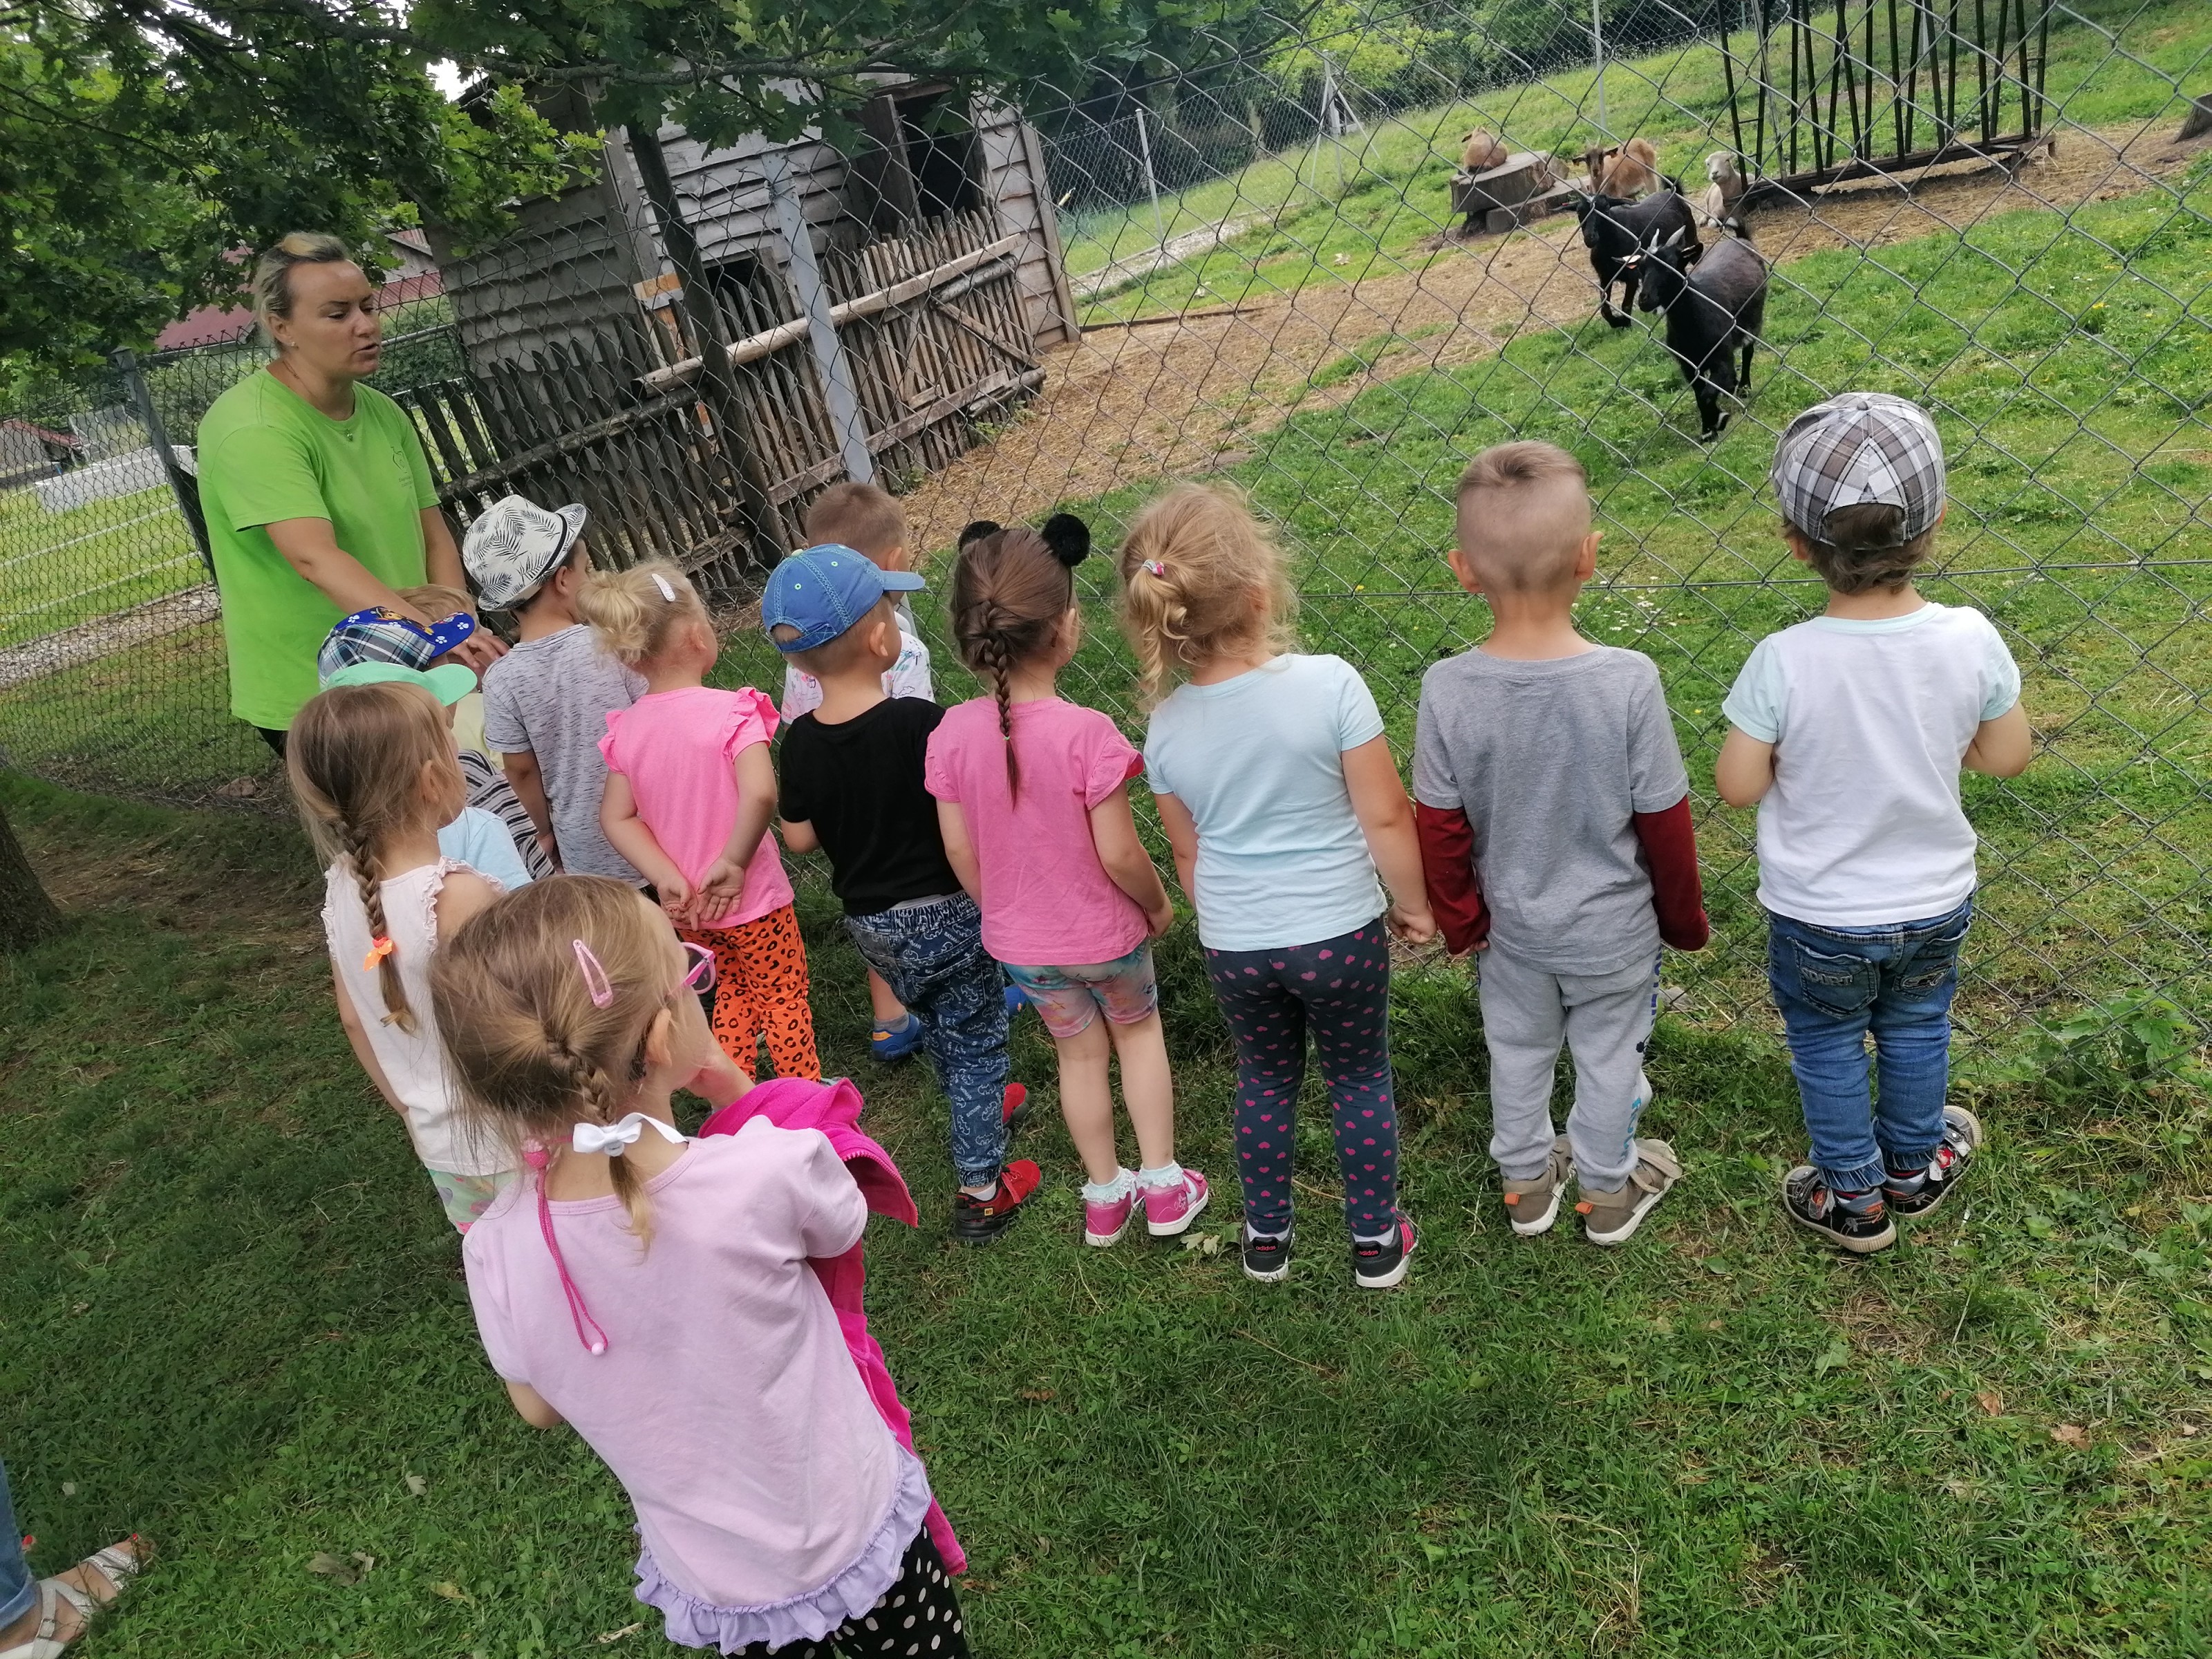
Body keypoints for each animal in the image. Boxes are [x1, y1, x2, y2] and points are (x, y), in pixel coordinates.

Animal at [1575, 189, 1698, 328]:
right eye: (1579, 211)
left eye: (1606, 207)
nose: (1590, 238)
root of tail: (1670, 192)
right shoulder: (1605, 276)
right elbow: (1605, 309)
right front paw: (1616, 323)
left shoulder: (1632, 276)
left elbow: (1626, 305)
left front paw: (1626, 323)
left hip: (1691, 238)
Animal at [1633, 226, 1767, 441]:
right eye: (1641, 268)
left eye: (1671, 265)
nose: (1644, 300)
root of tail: (1741, 239)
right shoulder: (1688, 366)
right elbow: (1700, 394)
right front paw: (1707, 430)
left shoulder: (1722, 358)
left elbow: (1707, 394)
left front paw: (1718, 420)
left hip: (1754, 320)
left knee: (1748, 352)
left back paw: (1744, 387)